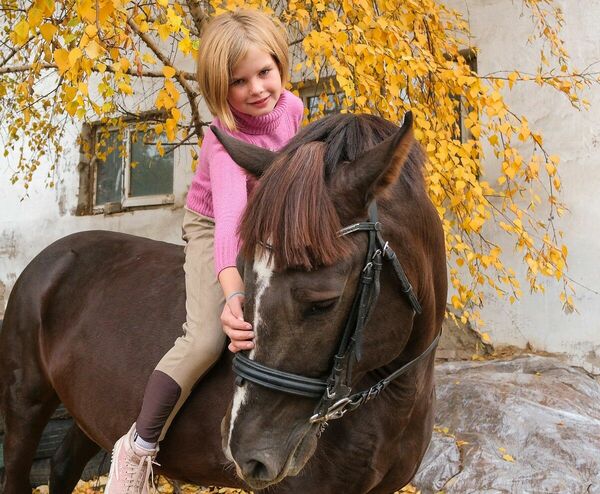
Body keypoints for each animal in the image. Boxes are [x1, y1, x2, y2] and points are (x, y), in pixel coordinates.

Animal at [0, 113, 446, 494]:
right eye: (244, 276)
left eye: (324, 302)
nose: (246, 451)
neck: (396, 396)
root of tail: (50, 257)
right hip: (26, 403)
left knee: (64, 464)